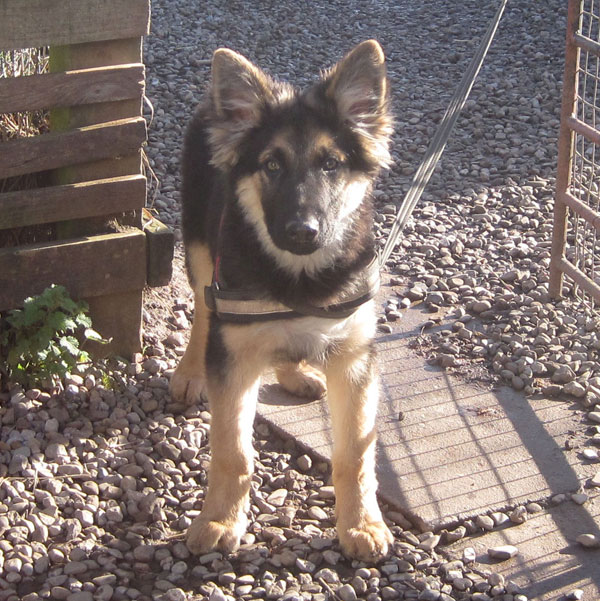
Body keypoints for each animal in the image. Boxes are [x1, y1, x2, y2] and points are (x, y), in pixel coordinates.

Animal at [169, 39, 394, 560]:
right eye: (271, 164)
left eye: (331, 164)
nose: (302, 232)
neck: (298, 278)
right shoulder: (234, 358)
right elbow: (232, 452)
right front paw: (219, 520)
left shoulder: (355, 358)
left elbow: (355, 454)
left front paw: (361, 525)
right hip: (200, 249)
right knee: (203, 314)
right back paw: (190, 372)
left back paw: (296, 372)